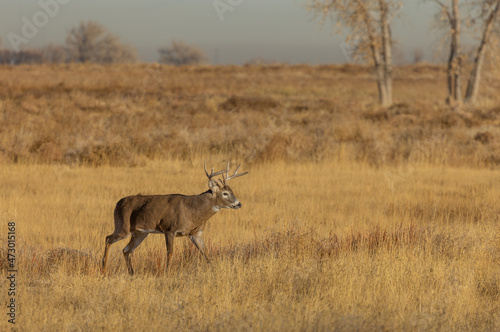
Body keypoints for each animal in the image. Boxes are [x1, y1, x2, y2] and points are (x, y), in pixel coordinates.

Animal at [101, 161, 248, 274]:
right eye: (225, 193)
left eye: (232, 191)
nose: (239, 204)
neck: (193, 210)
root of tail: (118, 203)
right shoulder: (169, 229)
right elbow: (170, 253)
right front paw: (167, 272)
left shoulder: (196, 233)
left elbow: (205, 253)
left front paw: (213, 269)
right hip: (122, 226)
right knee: (108, 239)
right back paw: (103, 269)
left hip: (140, 233)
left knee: (126, 250)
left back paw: (132, 273)